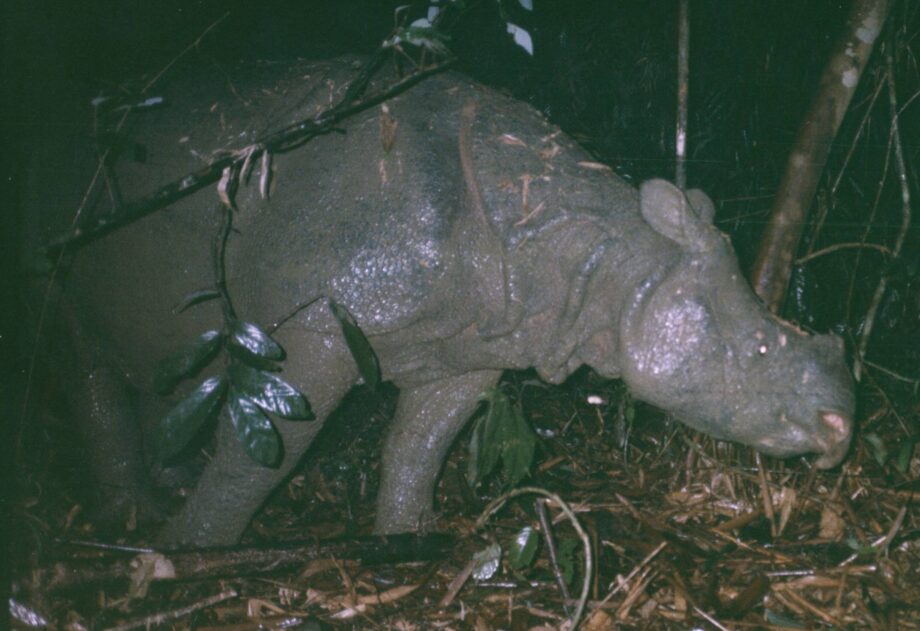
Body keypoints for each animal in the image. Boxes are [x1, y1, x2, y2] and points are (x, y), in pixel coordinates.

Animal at [28, 57, 854, 548]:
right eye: (758, 348)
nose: (842, 424)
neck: (600, 253)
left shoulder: (472, 342)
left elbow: (423, 440)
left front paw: (410, 536)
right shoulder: (317, 323)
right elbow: (262, 449)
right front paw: (192, 551)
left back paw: (156, 488)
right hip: (72, 224)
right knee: (80, 348)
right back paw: (132, 518)